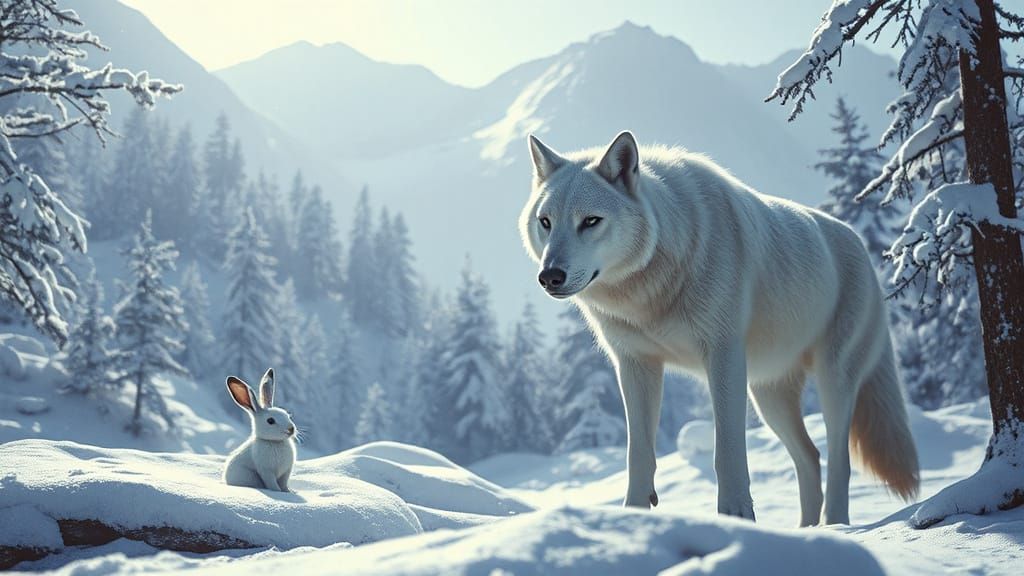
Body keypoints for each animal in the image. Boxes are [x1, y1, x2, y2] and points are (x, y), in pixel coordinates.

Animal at [519, 131, 919, 525]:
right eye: (546, 222)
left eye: (590, 221)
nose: (549, 276)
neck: (651, 290)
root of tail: (863, 247)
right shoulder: (634, 365)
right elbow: (639, 454)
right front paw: (633, 518)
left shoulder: (724, 357)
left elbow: (726, 451)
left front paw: (736, 517)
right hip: (768, 397)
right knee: (810, 457)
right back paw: (806, 531)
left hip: (831, 382)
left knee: (839, 462)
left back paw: (834, 526)